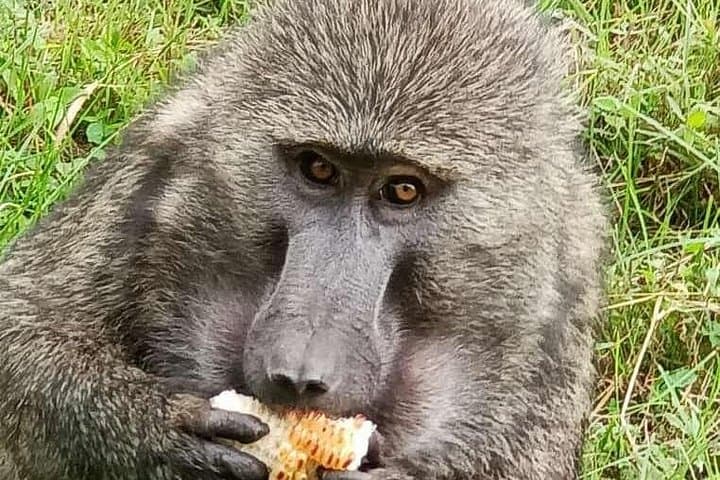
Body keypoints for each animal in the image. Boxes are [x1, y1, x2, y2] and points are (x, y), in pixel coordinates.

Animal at [0, 0, 608, 478]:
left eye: (402, 191)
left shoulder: (563, 292)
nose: (297, 375)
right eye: (318, 169)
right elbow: (23, 330)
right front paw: (164, 432)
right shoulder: (163, 158)